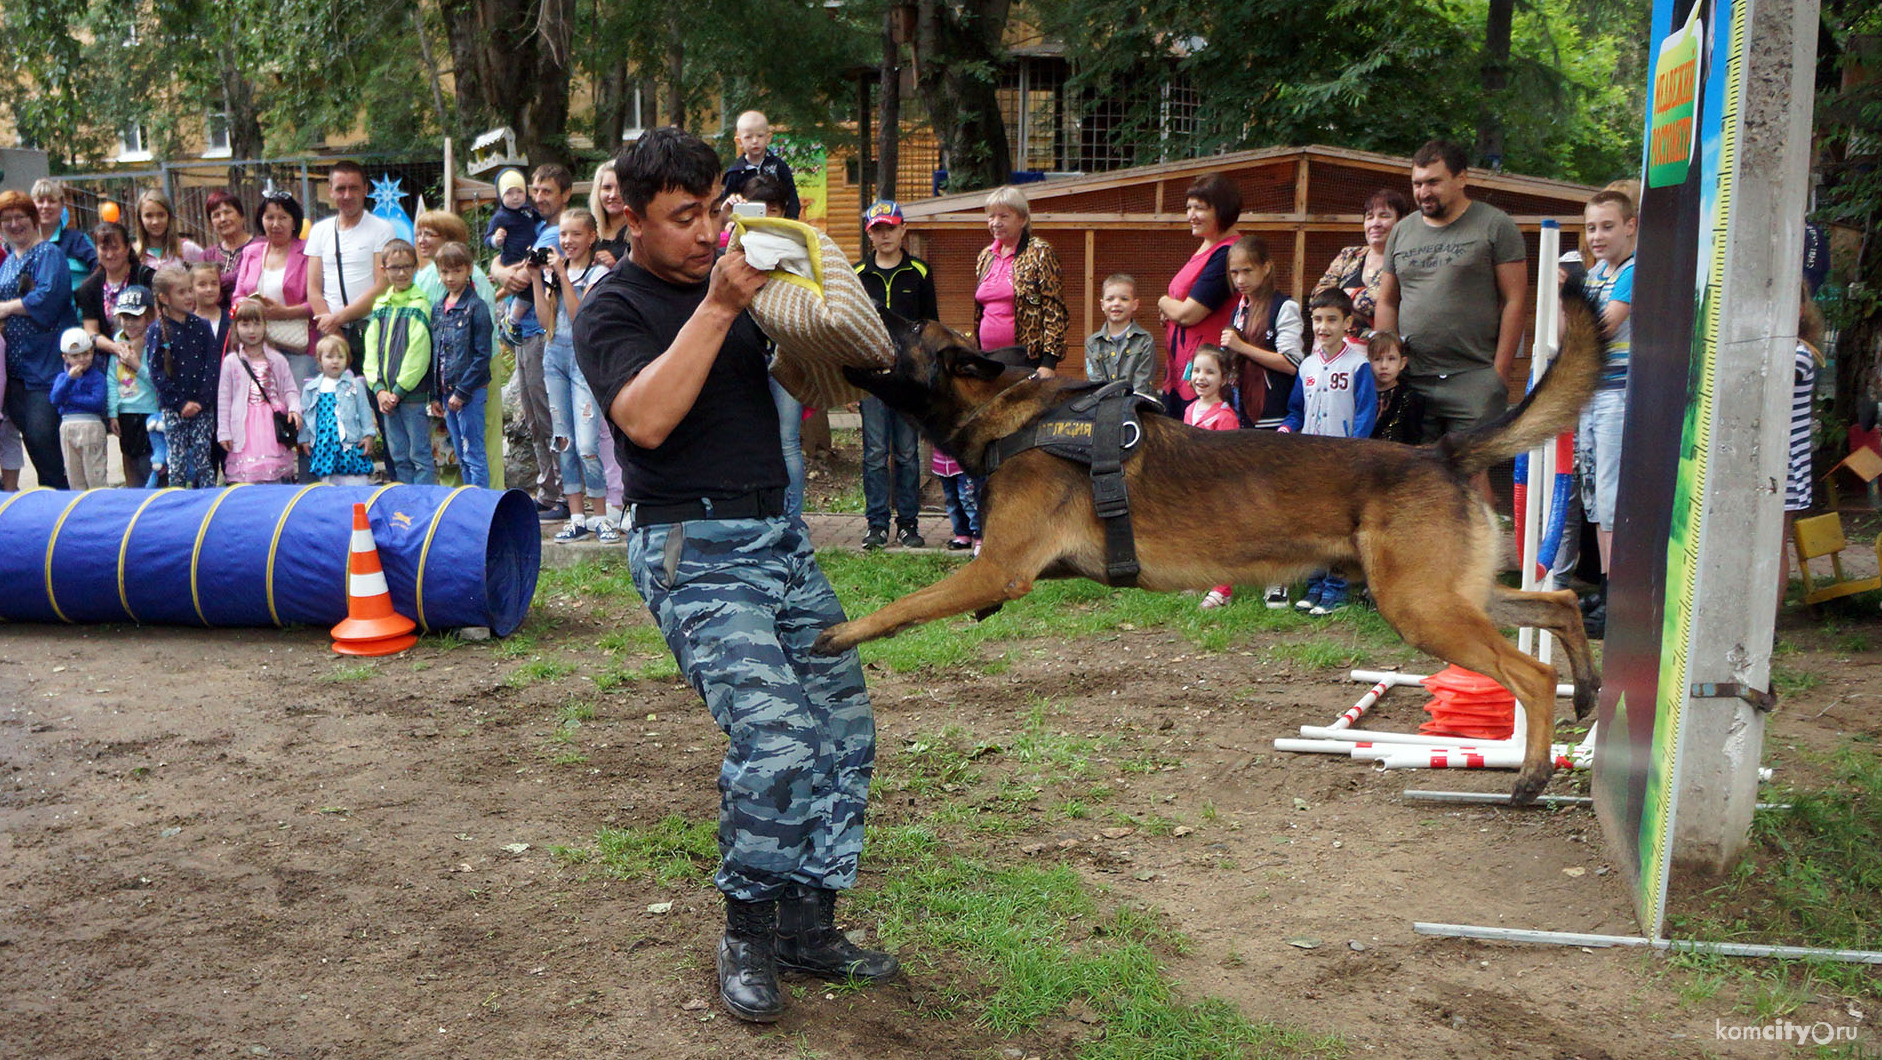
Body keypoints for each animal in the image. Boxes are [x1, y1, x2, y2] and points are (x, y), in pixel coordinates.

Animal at [820, 299, 1603, 805]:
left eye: (901, 324)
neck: (1014, 415)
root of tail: (1440, 451)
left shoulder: (996, 569)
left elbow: (901, 607)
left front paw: (837, 636)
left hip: (1422, 609)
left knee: (1533, 673)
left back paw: (1534, 772)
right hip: (1442, 596)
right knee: (1560, 602)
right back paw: (1590, 688)